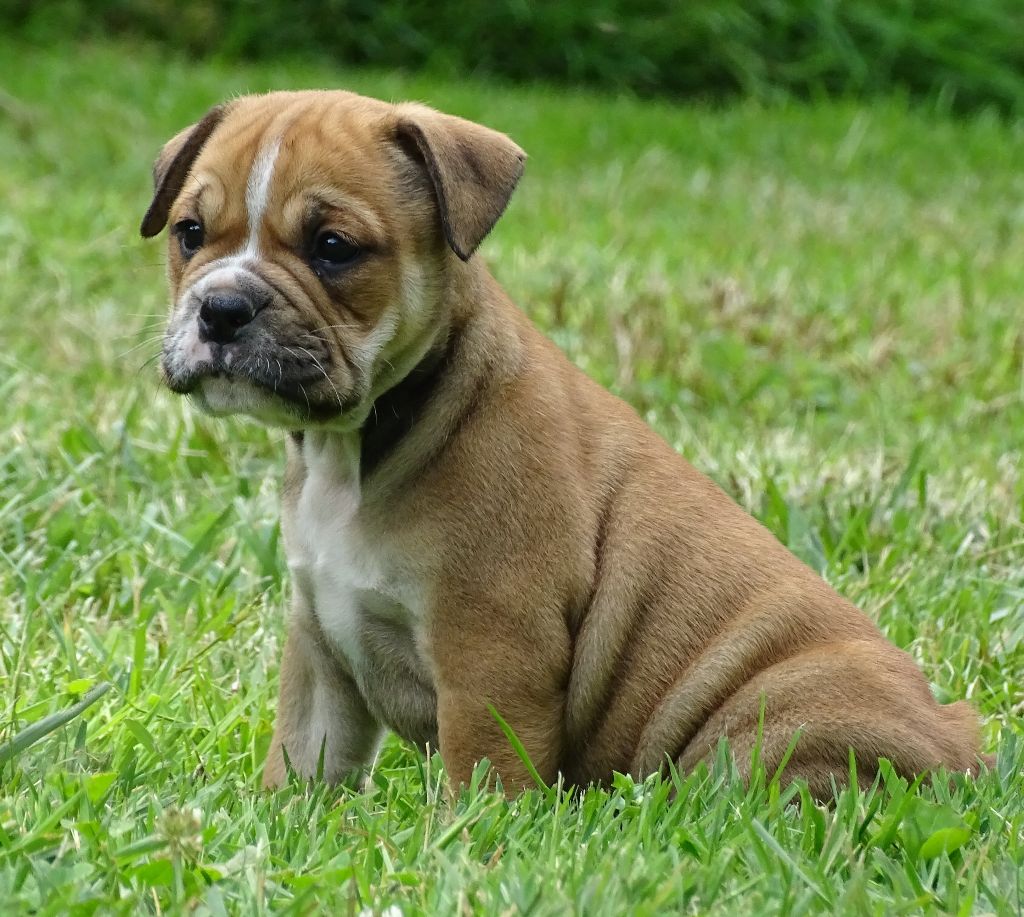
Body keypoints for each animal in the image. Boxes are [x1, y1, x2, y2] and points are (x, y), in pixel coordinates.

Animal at [142, 90, 987, 797]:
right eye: (189, 234)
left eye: (333, 246)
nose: (222, 307)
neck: (358, 440)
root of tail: (964, 744)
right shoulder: (321, 646)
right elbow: (302, 757)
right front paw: (282, 816)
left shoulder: (491, 651)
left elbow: (484, 773)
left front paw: (466, 844)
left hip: (783, 712)